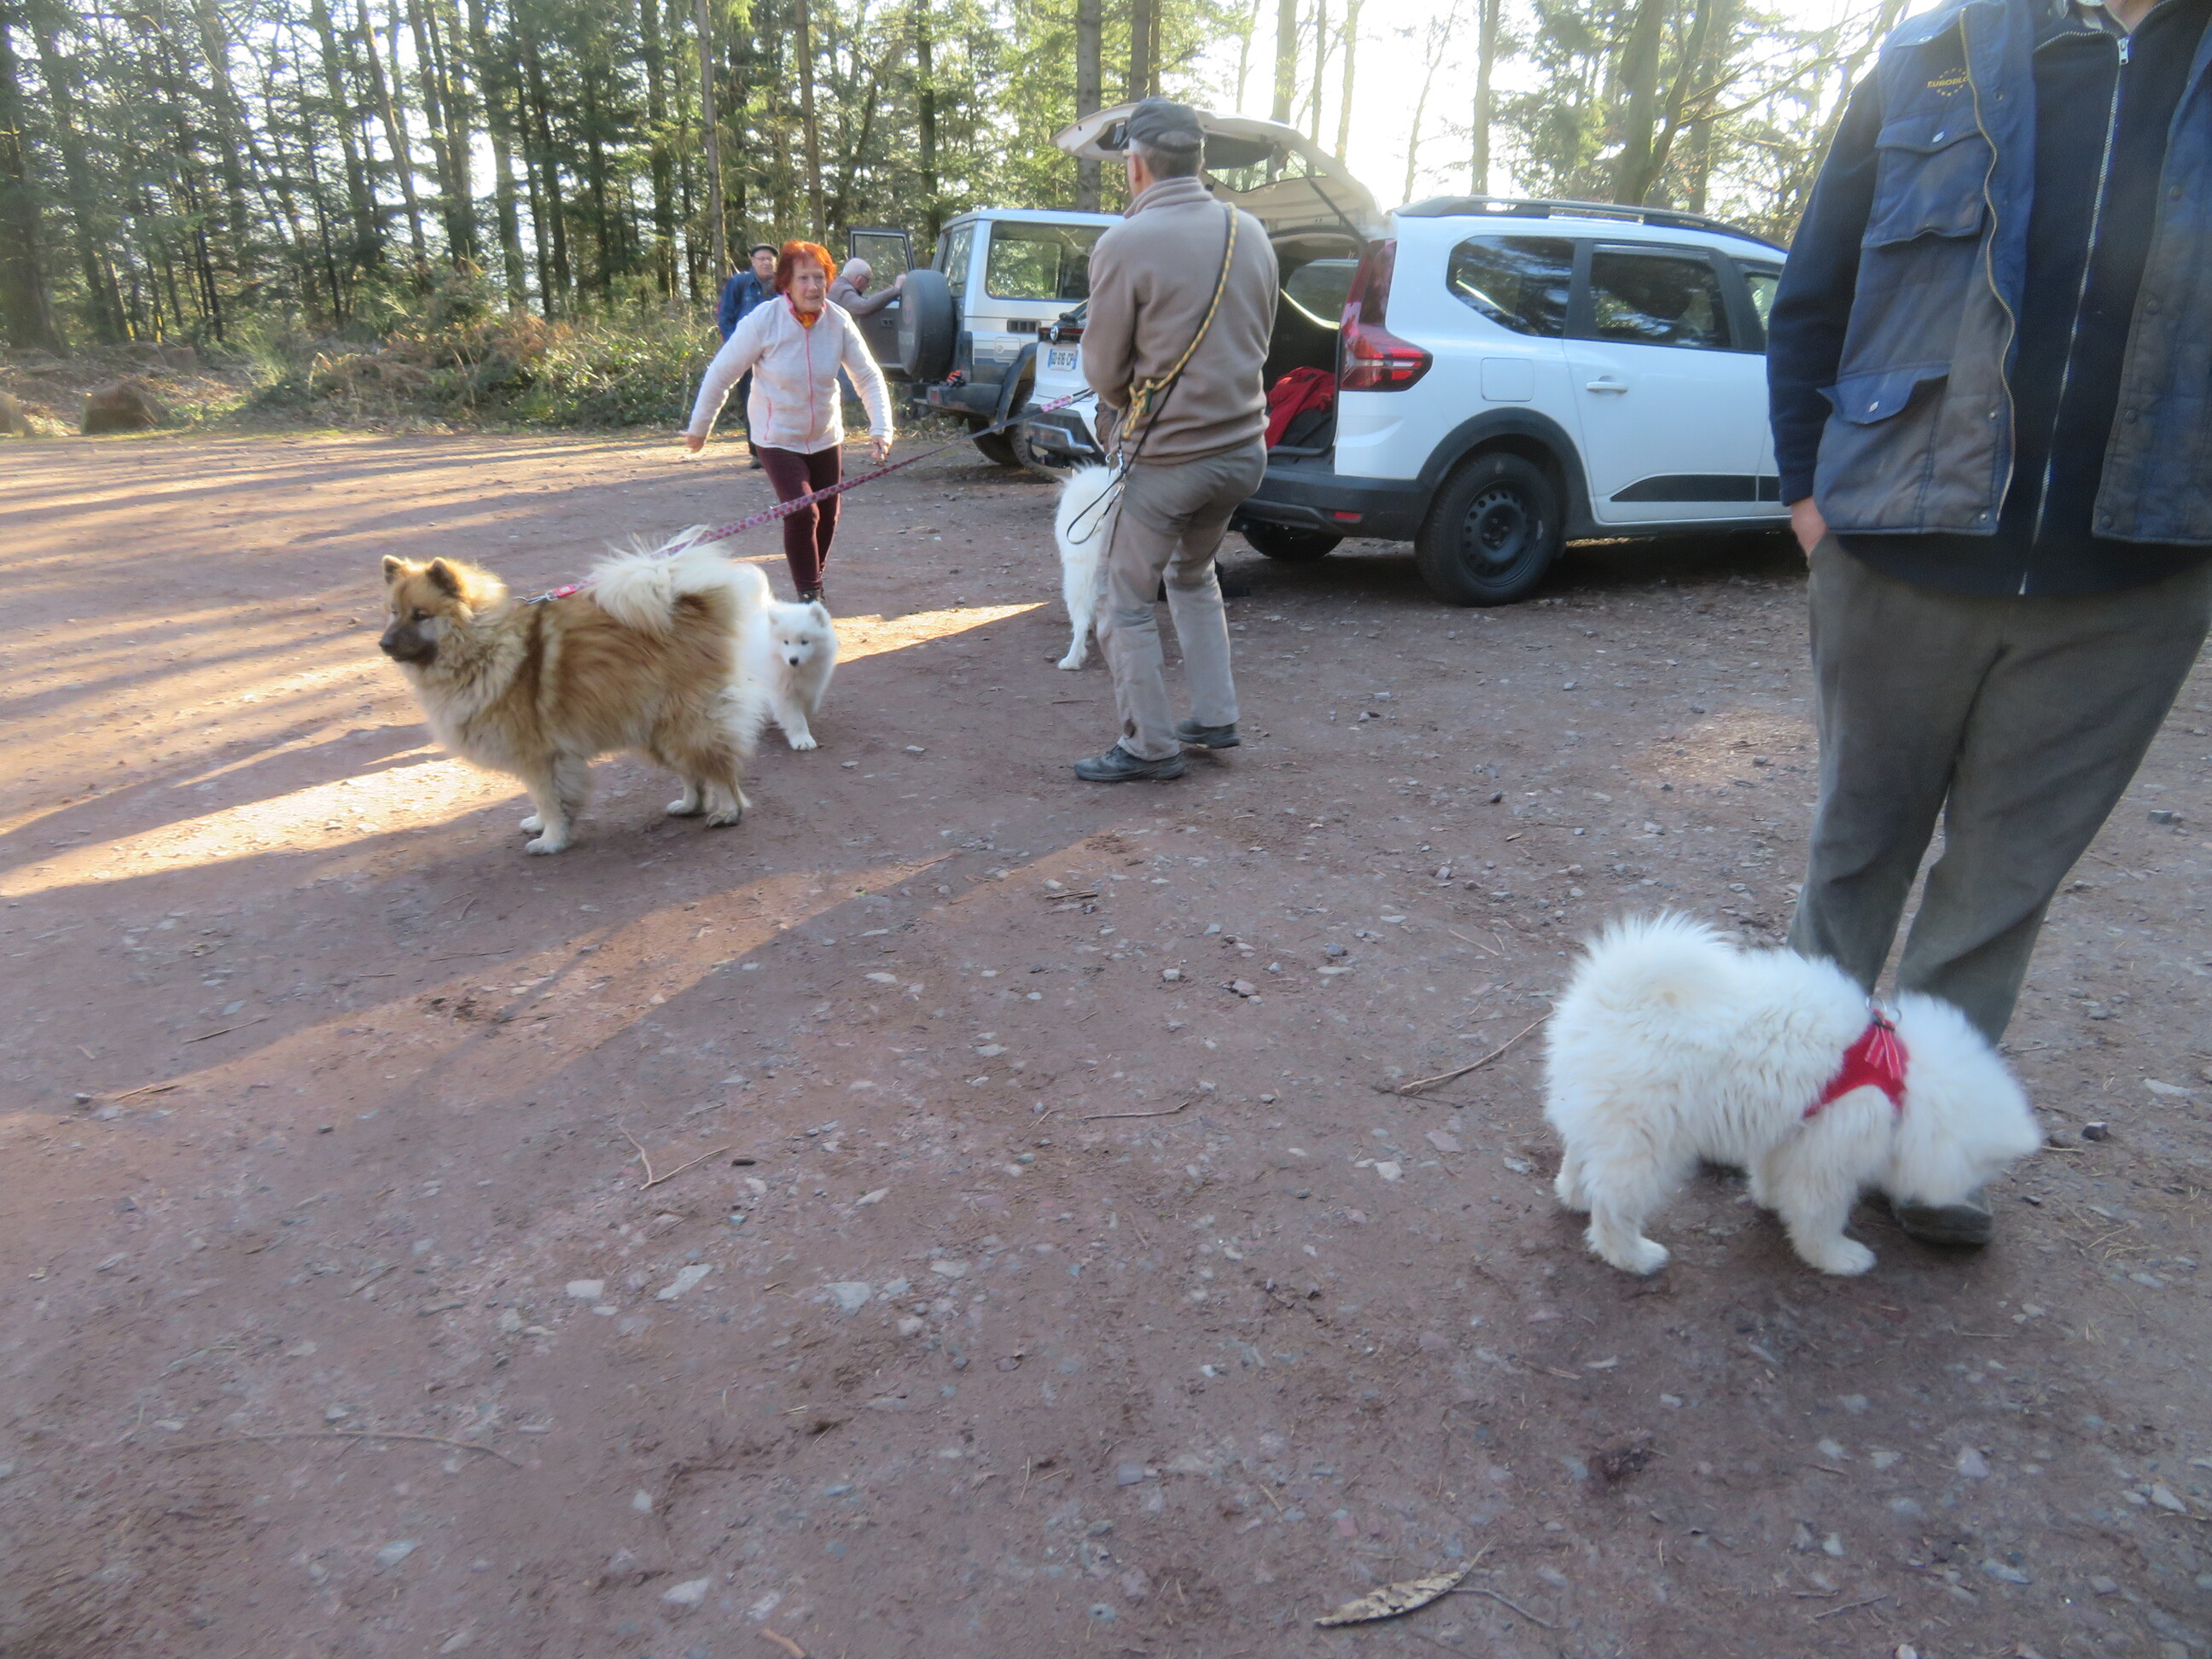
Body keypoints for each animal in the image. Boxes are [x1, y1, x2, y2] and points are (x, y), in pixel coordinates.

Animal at [378, 532, 766, 854]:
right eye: (393, 613)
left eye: (421, 615)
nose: (383, 644)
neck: (484, 646)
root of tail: (690, 608)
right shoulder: (541, 759)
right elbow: (541, 799)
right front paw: (539, 825)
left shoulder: (539, 756)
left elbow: (549, 800)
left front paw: (551, 840)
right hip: (653, 728)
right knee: (692, 772)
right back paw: (689, 805)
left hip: (686, 723)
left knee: (719, 768)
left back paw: (728, 811)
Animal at [740, 568, 838, 750]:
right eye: (785, 642)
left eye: (805, 641)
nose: (793, 660)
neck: (798, 671)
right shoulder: (783, 690)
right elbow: (795, 717)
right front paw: (802, 739)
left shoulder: (813, 686)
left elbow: (809, 706)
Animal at [1542, 914, 2041, 1277]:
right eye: (1986, 1167)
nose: (1964, 1197)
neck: (1899, 1072)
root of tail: (1613, 997)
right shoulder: (1830, 1152)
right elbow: (1820, 1215)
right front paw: (1837, 1258)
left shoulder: (1792, 1129)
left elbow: (1771, 1172)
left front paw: (1770, 1200)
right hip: (1646, 1137)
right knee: (1615, 1205)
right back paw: (1635, 1257)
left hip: (1604, 1118)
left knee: (1582, 1160)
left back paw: (1575, 1196)